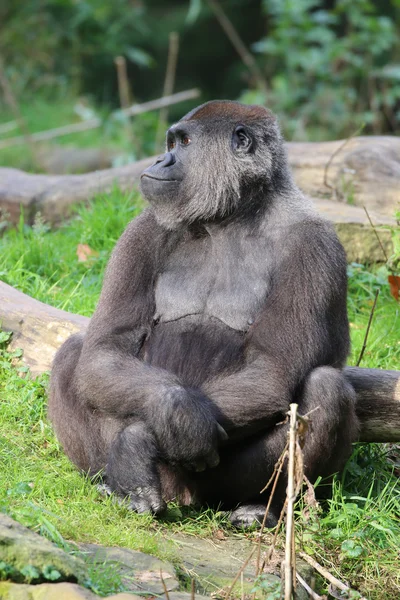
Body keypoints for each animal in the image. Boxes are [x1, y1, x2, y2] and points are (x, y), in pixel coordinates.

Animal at [47, 101, 360, 528]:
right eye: (171, 143)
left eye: (184, 143)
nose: (159, 160)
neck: (235, 215)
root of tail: (182, 496)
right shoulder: (143, 229)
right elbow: (105, 350)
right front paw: (165, 421)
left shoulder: (314, 246)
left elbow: (272, 369)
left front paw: (154, 431)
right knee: (74, 355)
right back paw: (114, 484)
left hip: (216, 490)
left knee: (326, 390)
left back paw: (264, 507)